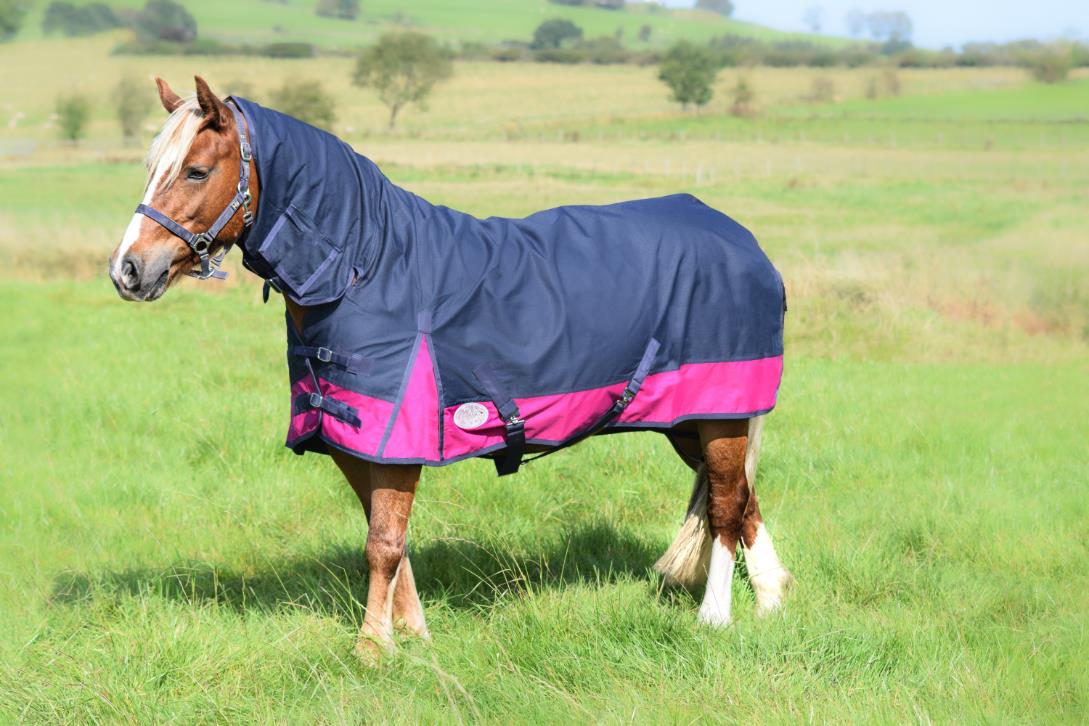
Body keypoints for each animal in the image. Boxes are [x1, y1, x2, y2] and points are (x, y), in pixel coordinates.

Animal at [108, 76, 792, 660]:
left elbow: (382, 545)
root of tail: (743, 240)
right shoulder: (354, 440)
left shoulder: (396, 434)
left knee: (726, 507)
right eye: (152, 167)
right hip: (693, 420)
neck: (365, 266)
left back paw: (715, 617)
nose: (128, 270)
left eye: (196, 170)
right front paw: (414, 637)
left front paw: (372, 648)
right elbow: (390, 537)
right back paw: (769, 604)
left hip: (719, 412)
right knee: (745, 501)